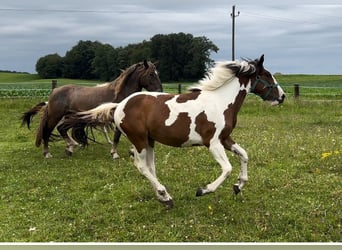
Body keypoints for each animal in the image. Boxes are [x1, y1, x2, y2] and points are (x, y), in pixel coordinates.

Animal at [22, 60, 162, 158]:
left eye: (157, 73)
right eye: (151, 74)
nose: (160, 91)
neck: (120, 93)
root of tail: (54, 91)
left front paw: (132, 151)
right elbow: (117, 136)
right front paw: (115, 154)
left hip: (70, 117)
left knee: (61, 129)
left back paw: (70, 148)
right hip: (55, 116)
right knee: (47, 132)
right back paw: (47, 153)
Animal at [62, 54, 284, 207]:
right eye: (267, 76)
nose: (281, 97)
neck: (220, 102)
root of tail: (119, 106)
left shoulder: (225, 138)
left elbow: (244, 155)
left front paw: (239, 186)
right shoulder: (212, 143)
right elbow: (227, 168)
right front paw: (204, 190)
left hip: (149, 141)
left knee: (149, 167)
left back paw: (163, 197)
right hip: (139, 140)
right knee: (141, 166)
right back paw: (165, 195)